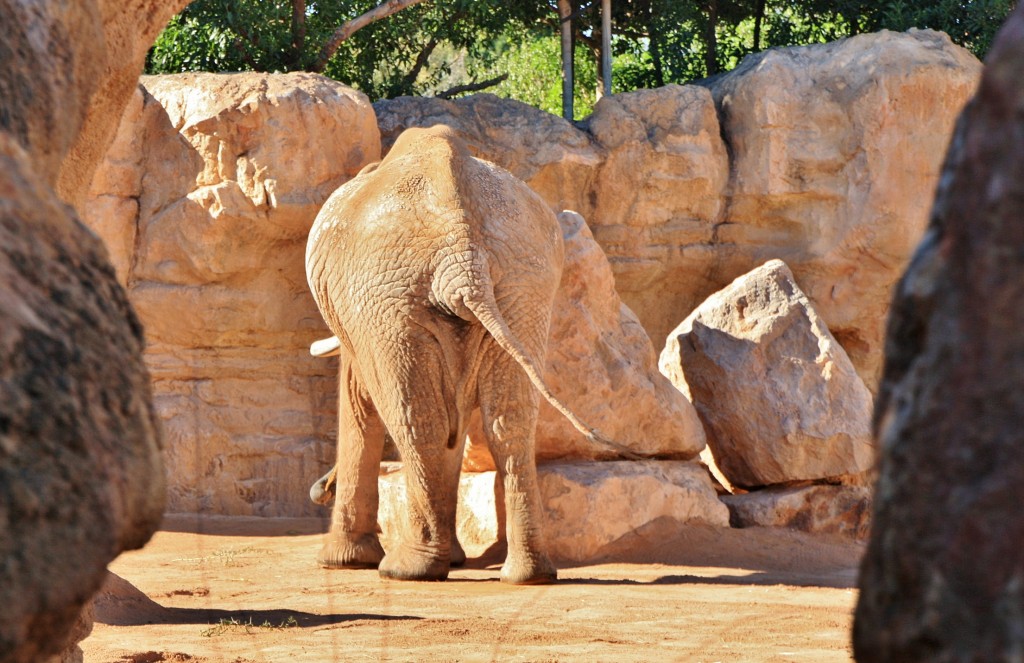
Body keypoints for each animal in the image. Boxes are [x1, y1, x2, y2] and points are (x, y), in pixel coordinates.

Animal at [303, 127, 622, 582]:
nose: (317, 491)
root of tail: (462, 250)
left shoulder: (360, 319)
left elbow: (360, 399)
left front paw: (342, 562)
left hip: (388, 296)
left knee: (416, 418)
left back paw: (405, 570)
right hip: (522, 286)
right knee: (510, 419)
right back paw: (527, 575)